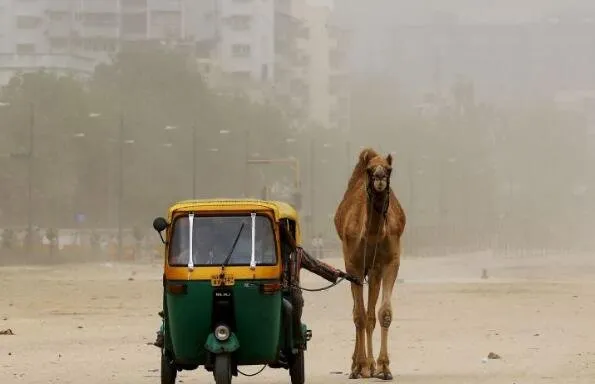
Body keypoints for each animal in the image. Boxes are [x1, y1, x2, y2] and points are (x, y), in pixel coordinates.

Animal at [336, 148, 406, 380]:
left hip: (374, 272)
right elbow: (358, 315)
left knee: (370, 314)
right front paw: (359, 366)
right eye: (369, 170)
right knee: (358, 312)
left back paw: (371, 365)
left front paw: (384, 367)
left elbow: (383, 313)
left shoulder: (391, 262)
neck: (373, 236)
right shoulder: (353, 265)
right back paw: (359, 366)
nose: (380, 178)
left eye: (389, 169)